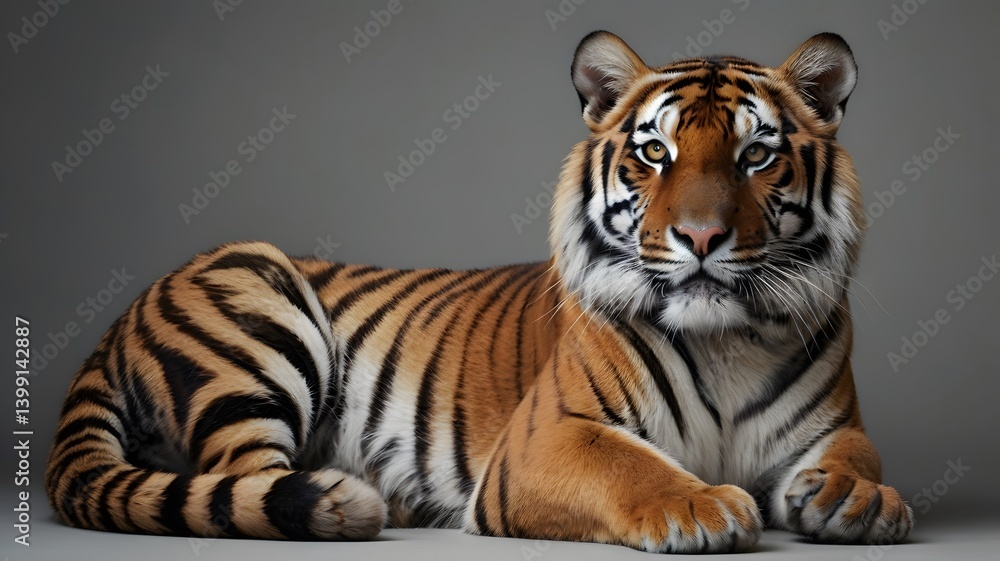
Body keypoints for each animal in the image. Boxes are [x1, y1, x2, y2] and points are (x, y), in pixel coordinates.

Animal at [45, 31, 913, 553]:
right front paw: (704, 505)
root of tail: (114, 322)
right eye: (654, 153)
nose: (701, 237)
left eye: (756, 154)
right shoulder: (547, 435)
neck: (726, 337)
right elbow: (630, 465)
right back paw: (348, 500)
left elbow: (859, 452)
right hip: (259, 298)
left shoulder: (833, 422)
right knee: (242, 481)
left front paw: (859, 498)